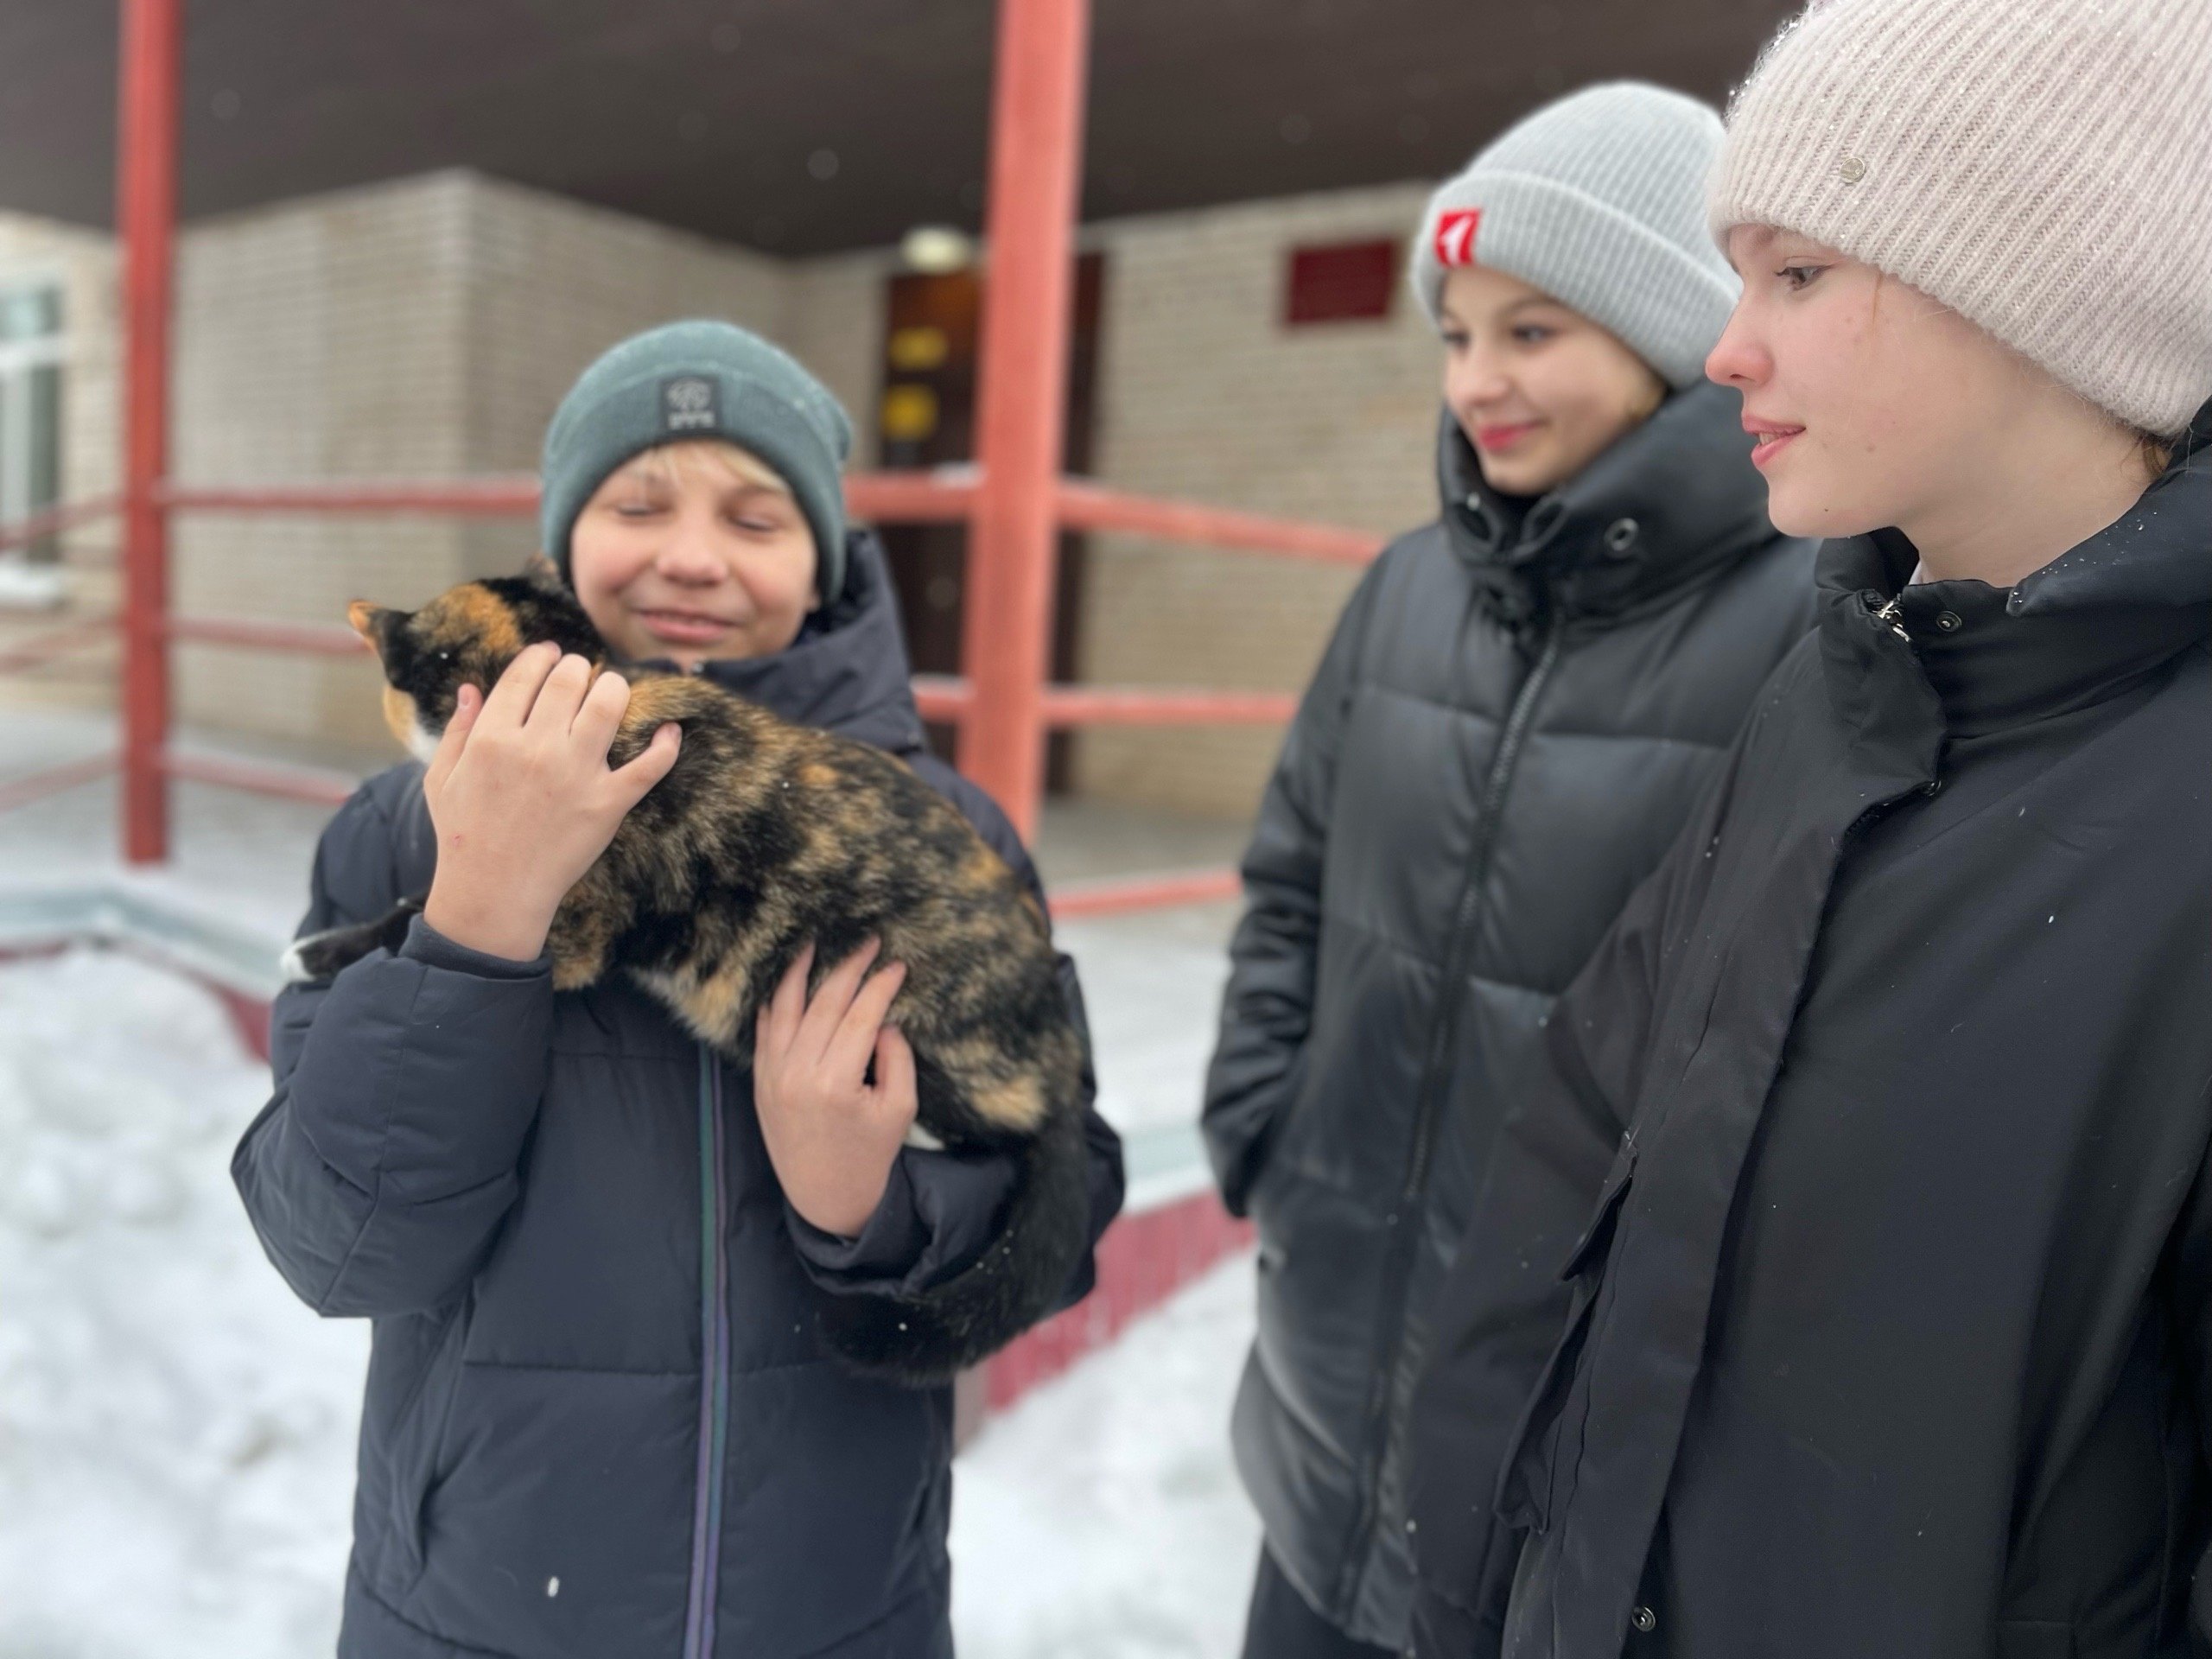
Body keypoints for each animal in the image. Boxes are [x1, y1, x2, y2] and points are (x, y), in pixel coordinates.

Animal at [291, 566, 1088, 1380]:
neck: (586, 684)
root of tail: (1061, 1064)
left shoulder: (571, 922)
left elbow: (409, 914)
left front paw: (317, 949)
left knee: (989, 1131)